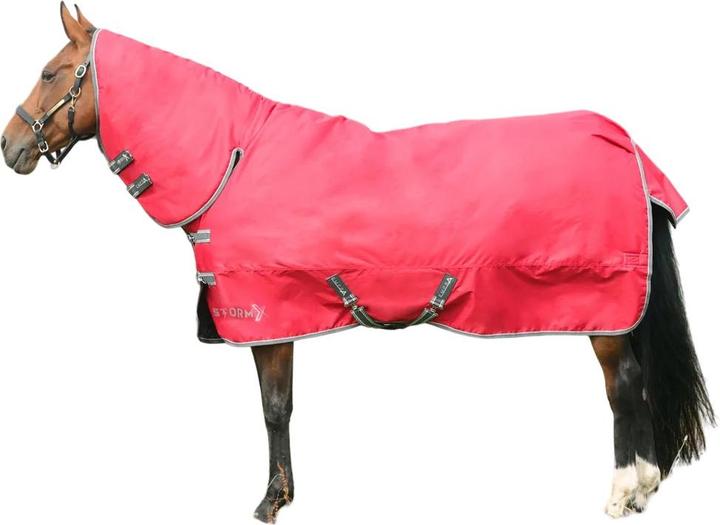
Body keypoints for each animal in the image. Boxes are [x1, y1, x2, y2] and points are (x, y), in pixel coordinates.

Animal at [1, 4, 714, 523]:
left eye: (49, 73)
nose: (10, 146)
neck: (234, 159)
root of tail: (630, 148)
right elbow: (283, 407)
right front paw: (282, 494)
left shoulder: (269, 314)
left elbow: (274, 408)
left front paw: (269, 502)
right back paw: (645, 486)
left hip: (601, 306)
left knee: (623, 387)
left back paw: (623, 493)